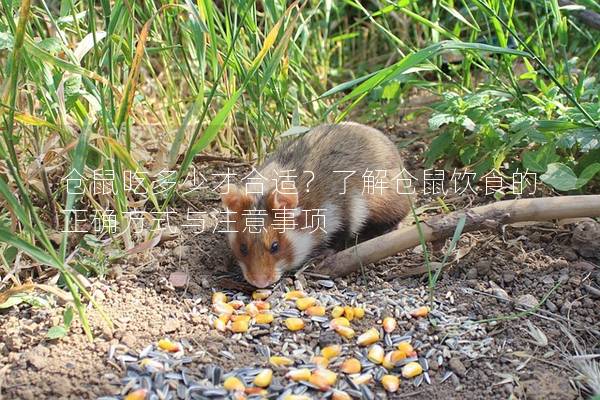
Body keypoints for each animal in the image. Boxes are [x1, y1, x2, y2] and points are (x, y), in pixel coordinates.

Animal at [220, 122, 412, 288]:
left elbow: (340, 237)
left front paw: (322, 255)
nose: (259, 283)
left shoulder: (345, 212)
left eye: (275, 246)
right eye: (243, 248)